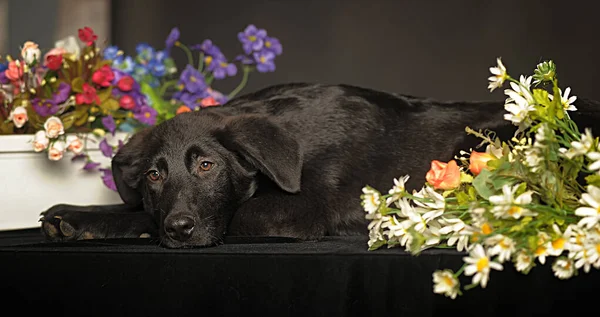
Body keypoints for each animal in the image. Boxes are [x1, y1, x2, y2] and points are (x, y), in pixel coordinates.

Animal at [39, 83, 596, 247]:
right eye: (154, 175)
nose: (179, 230)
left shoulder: (298, 212)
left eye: (207, 167)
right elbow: (140, 212)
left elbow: (232, 217)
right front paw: (81, 218)